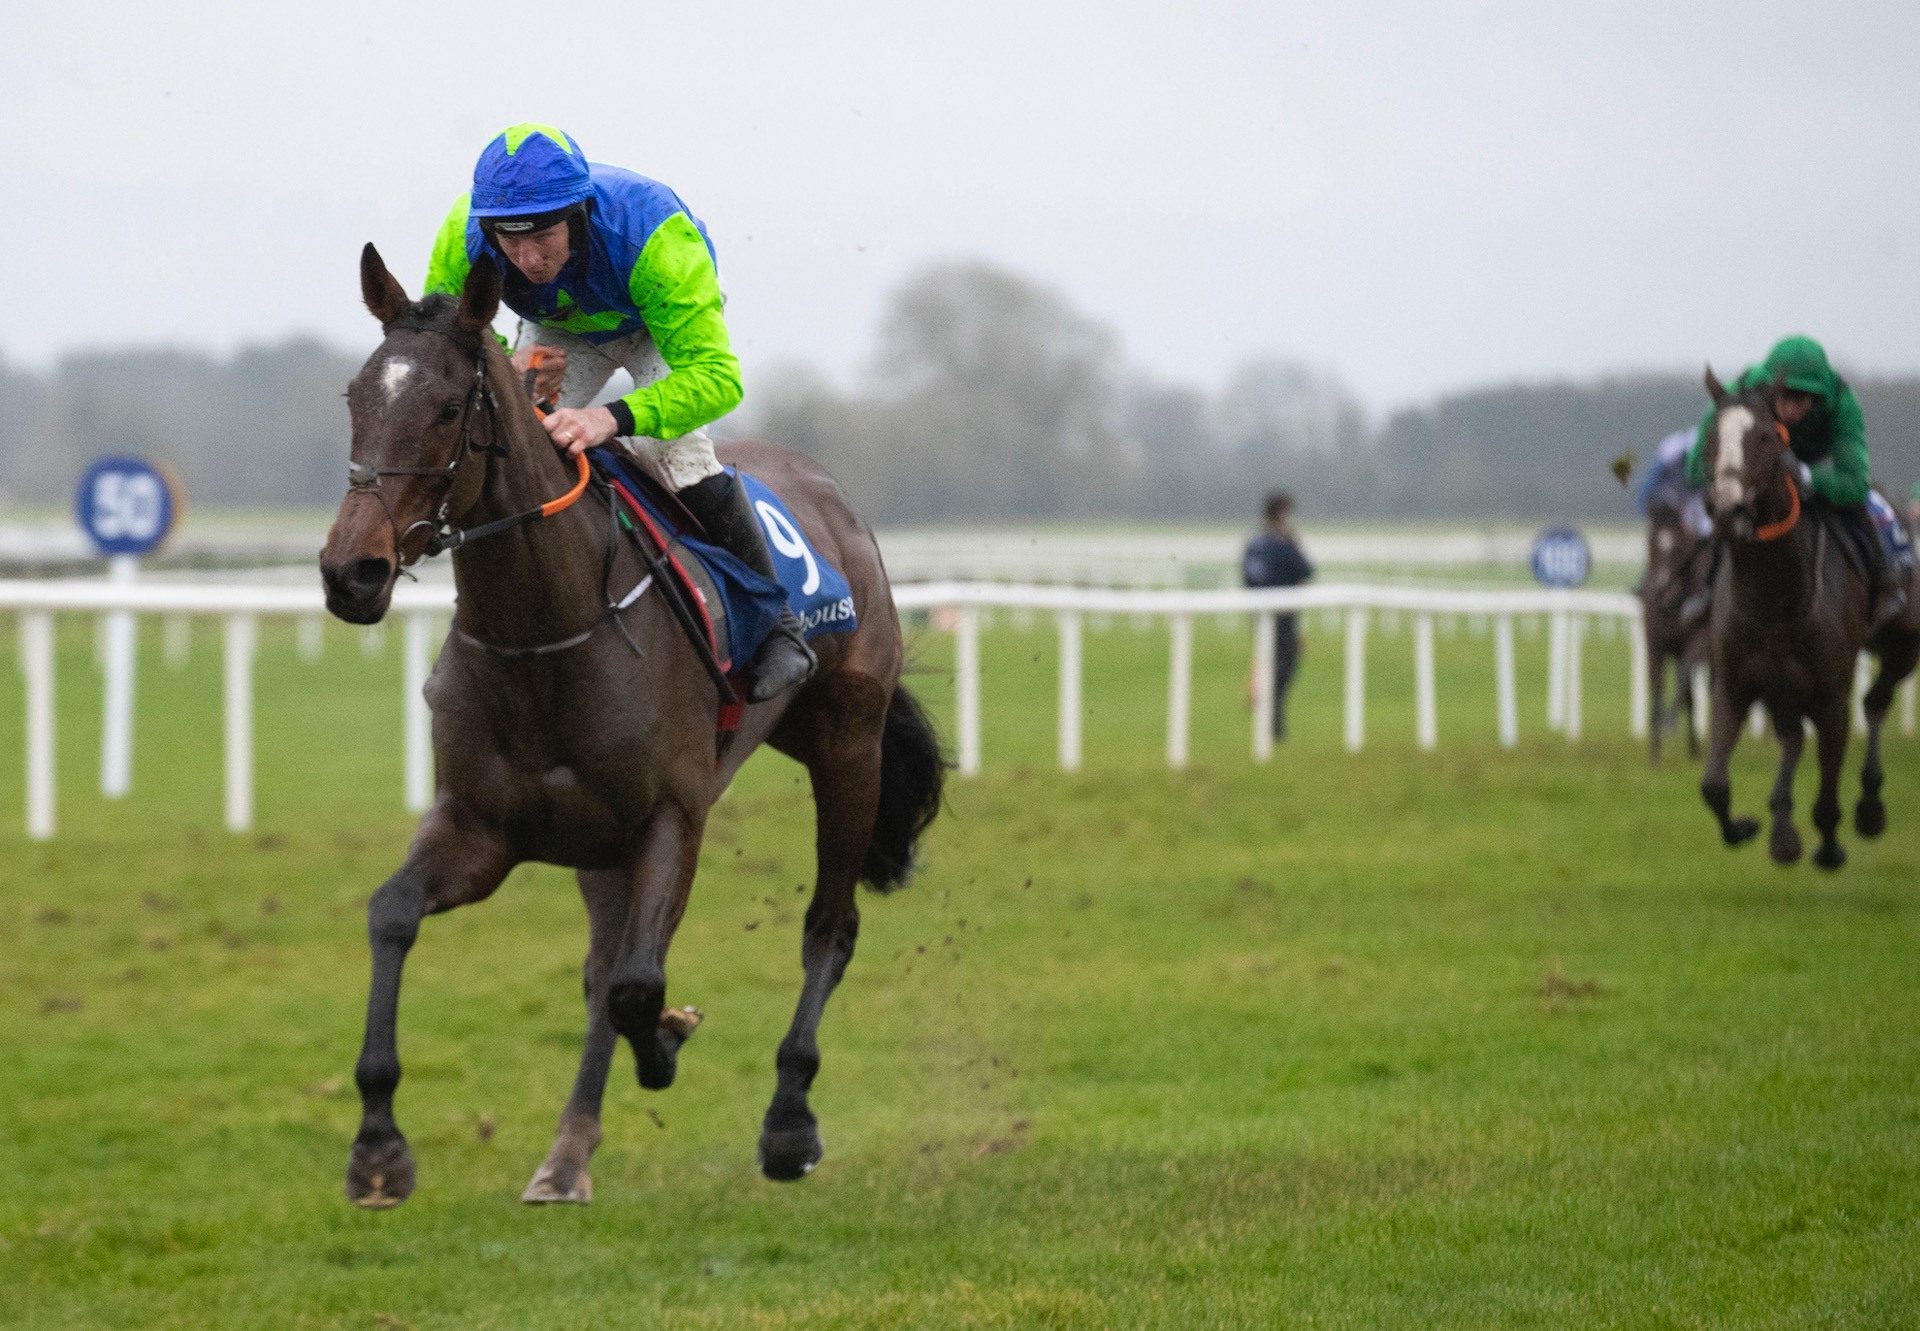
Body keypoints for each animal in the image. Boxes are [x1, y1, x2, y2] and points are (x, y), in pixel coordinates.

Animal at [316, 245, 944, 1206]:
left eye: (449, 408)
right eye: (357, 397)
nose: (351, 571)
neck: (547, 630)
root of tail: (836, 499)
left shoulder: (669, 818)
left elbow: (638, 985)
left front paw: (674, 1041)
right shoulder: (485, 826)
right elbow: (394, 915)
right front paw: (378, 1145)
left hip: (847, 744)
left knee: (827, 928)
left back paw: (789, 1121)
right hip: (601, 839)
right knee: (599, 967)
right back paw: (566, 1155)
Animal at [1697, 363, 1920, 868]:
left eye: (1765, 437)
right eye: (1712, 437)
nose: (1728, 508)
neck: (1773, 599)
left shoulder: (1831, 695)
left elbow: (1828, 792)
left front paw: (1831, 847)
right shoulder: (1734, 685)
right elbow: (1714, 785)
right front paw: (1747, 827)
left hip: (1903, 646)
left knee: (1875, 703)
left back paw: (1869, 807)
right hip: (1782, 686)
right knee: (1793, 736)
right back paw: (1782, 828)